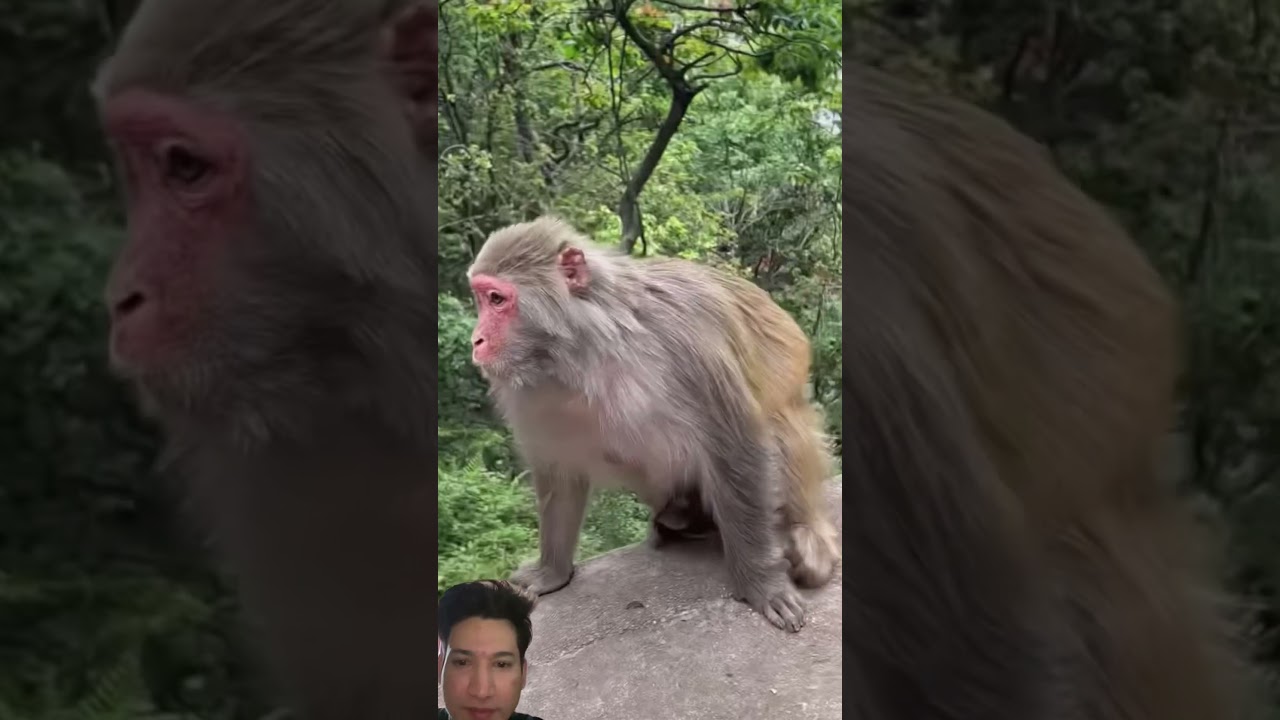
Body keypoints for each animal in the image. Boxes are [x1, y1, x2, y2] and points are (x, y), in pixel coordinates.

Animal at [465, 216, 841, 633]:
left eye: (497, 299)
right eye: (481, 298)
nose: (476, 340)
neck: (586, 351)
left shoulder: (688, 348)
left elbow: (737, 445)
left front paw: (762, 583)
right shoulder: (532, 392)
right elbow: (559, 470)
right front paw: (552, 571)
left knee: (776, 424)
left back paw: (805, 537)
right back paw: (681, 518)